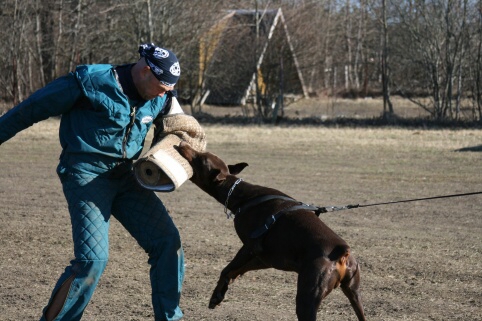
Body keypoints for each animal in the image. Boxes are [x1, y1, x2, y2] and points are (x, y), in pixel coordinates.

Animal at [177, 142, 366, 320]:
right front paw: (221, 292)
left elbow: (226, 269)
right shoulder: (267, 258)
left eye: (200, 159)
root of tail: (342, 253)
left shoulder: (250, 245)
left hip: (309, 295)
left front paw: (216, 296)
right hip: (354, 292)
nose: (182, 144)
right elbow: (235, 270)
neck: (244, 196)